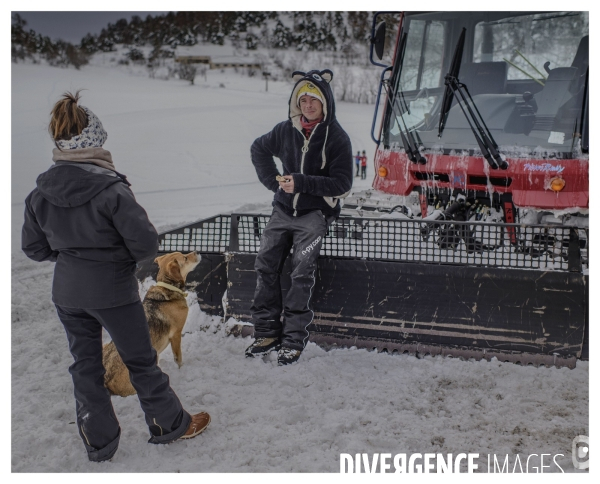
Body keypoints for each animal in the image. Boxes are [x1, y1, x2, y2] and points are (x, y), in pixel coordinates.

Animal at [103, 251, 202, 396]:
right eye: (185, 258)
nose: (197, 252)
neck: (168, 287)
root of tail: (106, 381)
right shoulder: (176, 334)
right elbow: (178, 357)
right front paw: (181, 369)